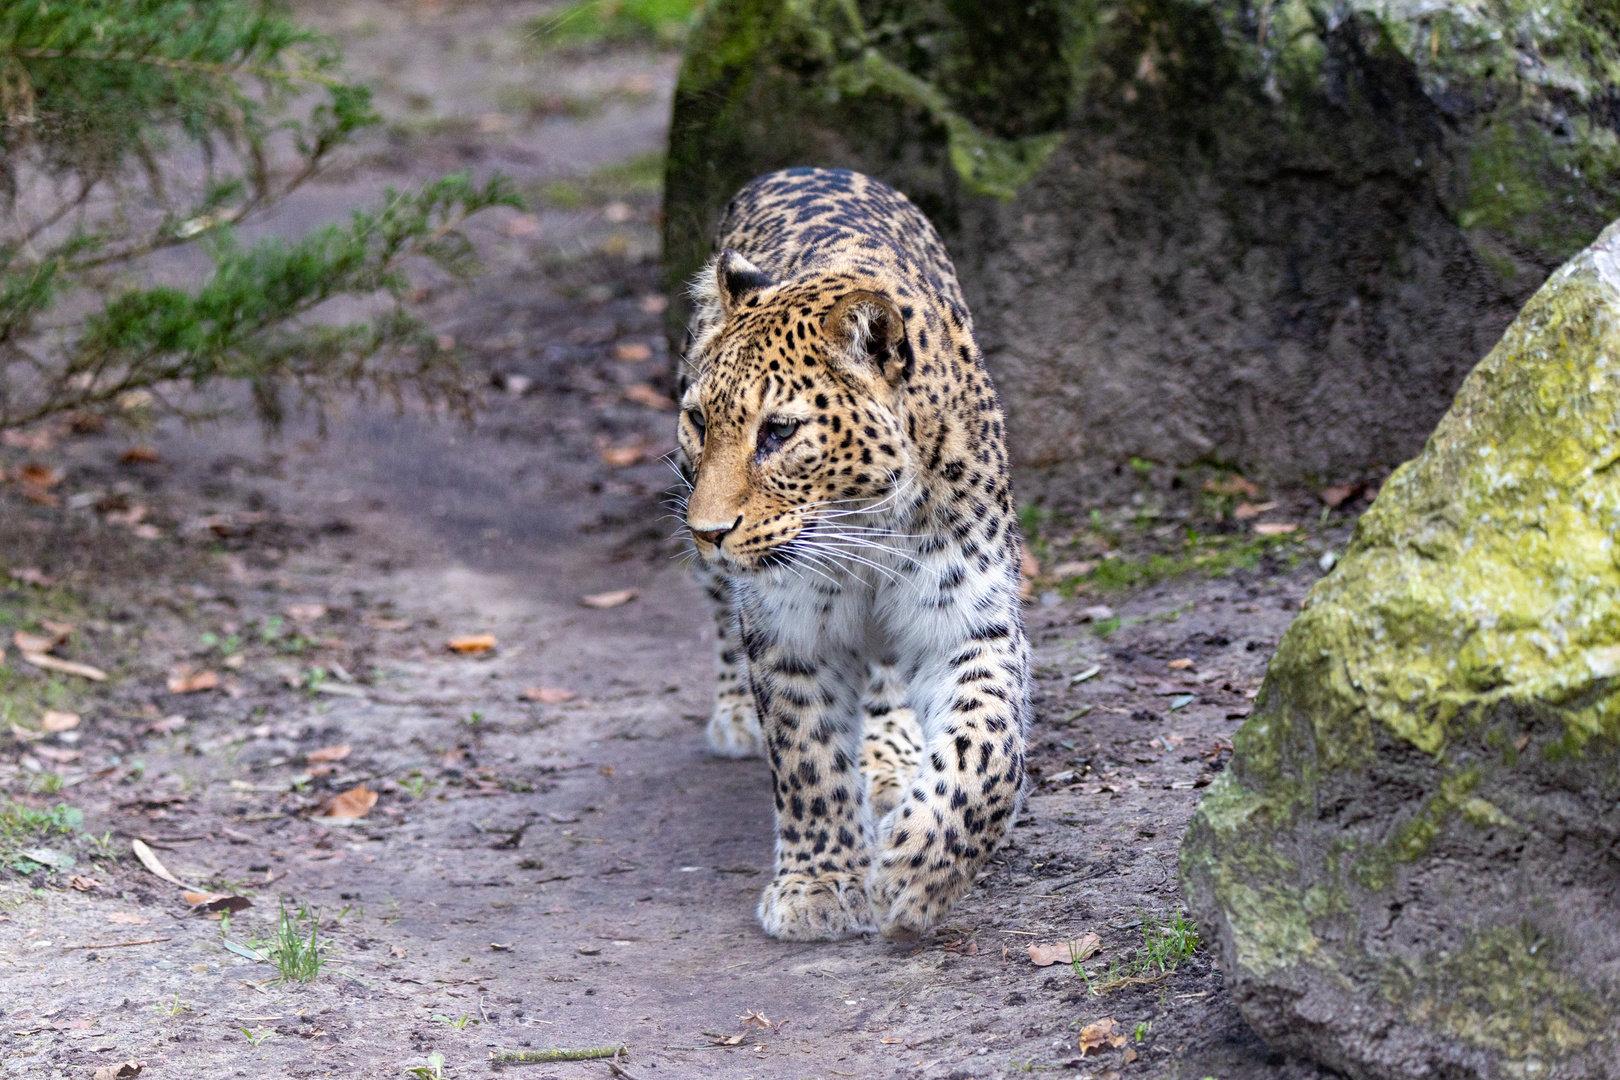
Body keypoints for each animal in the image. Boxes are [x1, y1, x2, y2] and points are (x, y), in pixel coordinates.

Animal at [673, 165, 1030, 939]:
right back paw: (736, 713)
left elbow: (987, 747)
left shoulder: (969, 616)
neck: (863, 526)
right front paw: (819, 884)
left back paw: (891, 751)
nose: (708, 529)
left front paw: (920, 868)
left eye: (778, 432)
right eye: (698, 420)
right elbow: (806, 757)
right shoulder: (787, 627)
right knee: (718, 609)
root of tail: (806, 166)